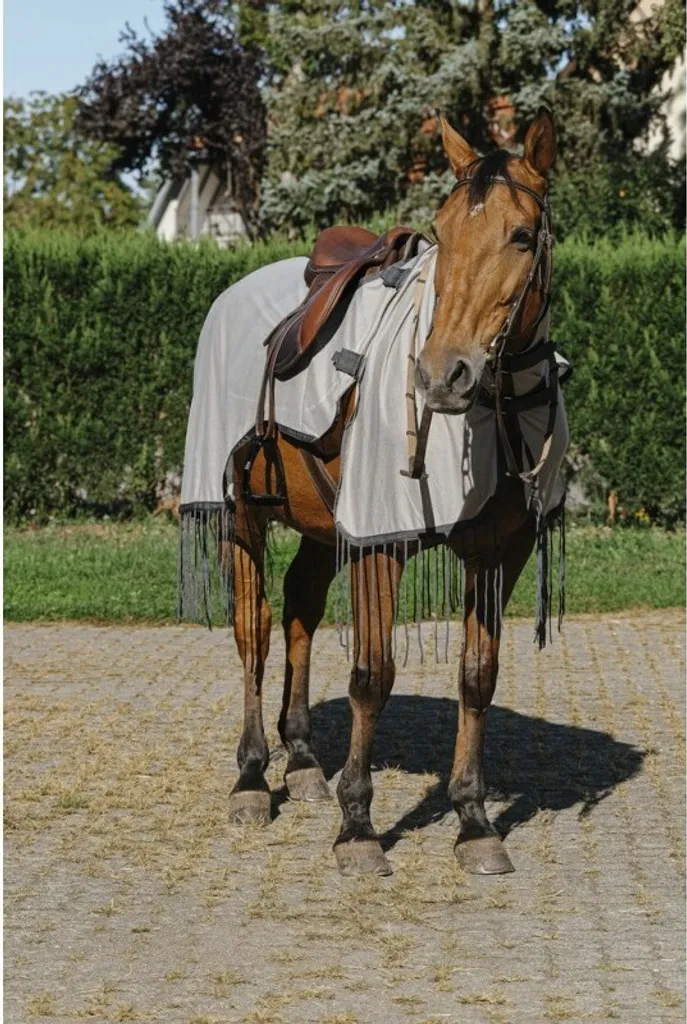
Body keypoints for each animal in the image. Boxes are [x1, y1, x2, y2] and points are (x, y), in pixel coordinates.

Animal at [221, 109, 558, 877]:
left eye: (522, 236)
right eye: (441, 230)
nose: (443, 374)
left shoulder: (498, 555)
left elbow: (477, 675)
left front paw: (472, 818)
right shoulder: (380, 545)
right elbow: (372, 675)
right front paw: (357, 828)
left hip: (320, 526)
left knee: (299, 612)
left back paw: (301, 761)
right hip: (236, 516)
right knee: (255, 629)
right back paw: (253, 776)